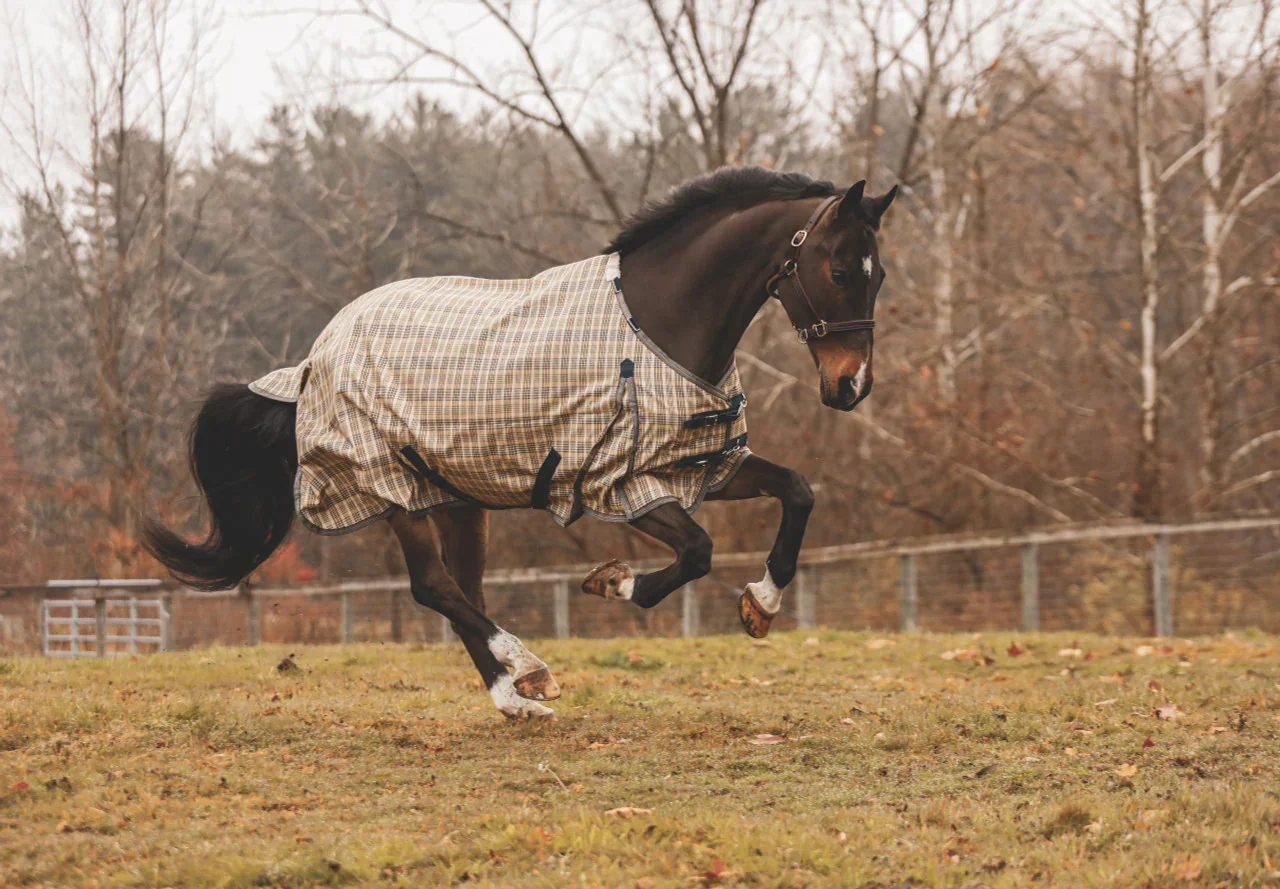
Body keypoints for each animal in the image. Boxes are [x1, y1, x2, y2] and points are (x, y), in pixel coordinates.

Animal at [144, 166, 897, 719]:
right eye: (838, 270)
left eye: (879, 273)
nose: (851, 385)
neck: (658, 322)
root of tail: (313, 356)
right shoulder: (623, 483)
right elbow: (697, 553)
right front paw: (613, 581)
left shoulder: (704, 464)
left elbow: (797, 492)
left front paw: (760, 606)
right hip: (393, 493)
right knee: (435, 587)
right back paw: (528, 669)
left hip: (454, 498)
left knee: (461, 589)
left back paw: (516, 695)